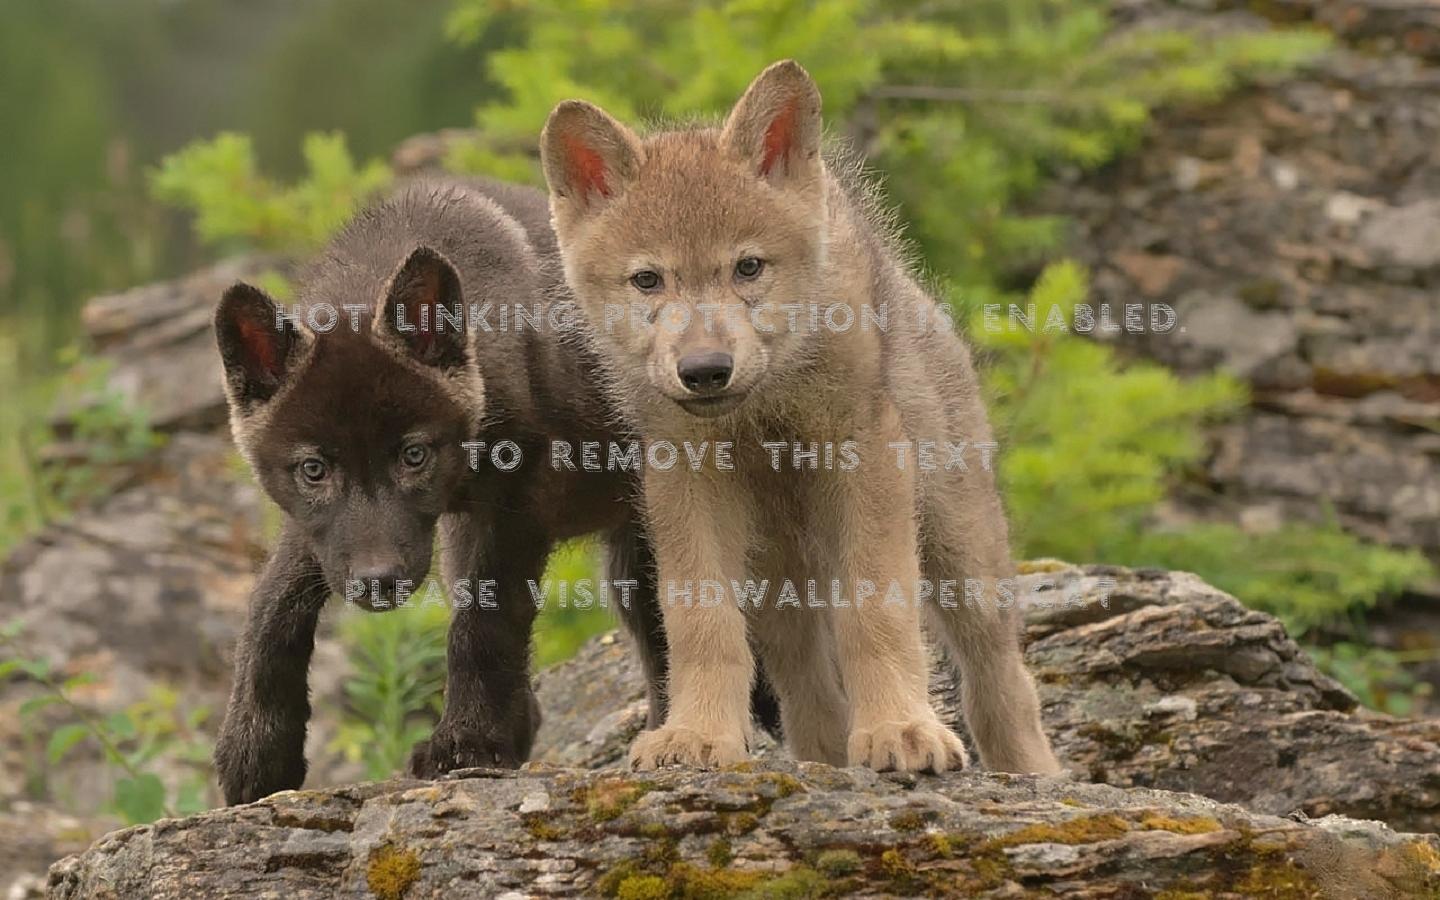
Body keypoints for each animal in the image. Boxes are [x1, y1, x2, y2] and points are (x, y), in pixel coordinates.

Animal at [211, 178, 713, 805]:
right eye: (313, 469)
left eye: (413, 455)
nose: (378, 582)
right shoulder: (324, 535)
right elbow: (269, 609)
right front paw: (256, 754)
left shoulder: (515, 503)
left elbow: (482, 624)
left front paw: (468, 742)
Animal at [540, 61, 1061, 775]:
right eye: (648, 281)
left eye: (748, 267)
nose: (706, 370)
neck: (767, 408)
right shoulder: (686, 481)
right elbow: (701, 626)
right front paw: (696, 735)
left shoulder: (866, 458)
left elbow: (876, 613)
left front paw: (901, 728)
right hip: (775, 578)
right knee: (809, 690)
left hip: (961, 546)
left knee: (999, 678)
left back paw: (1030, 773)